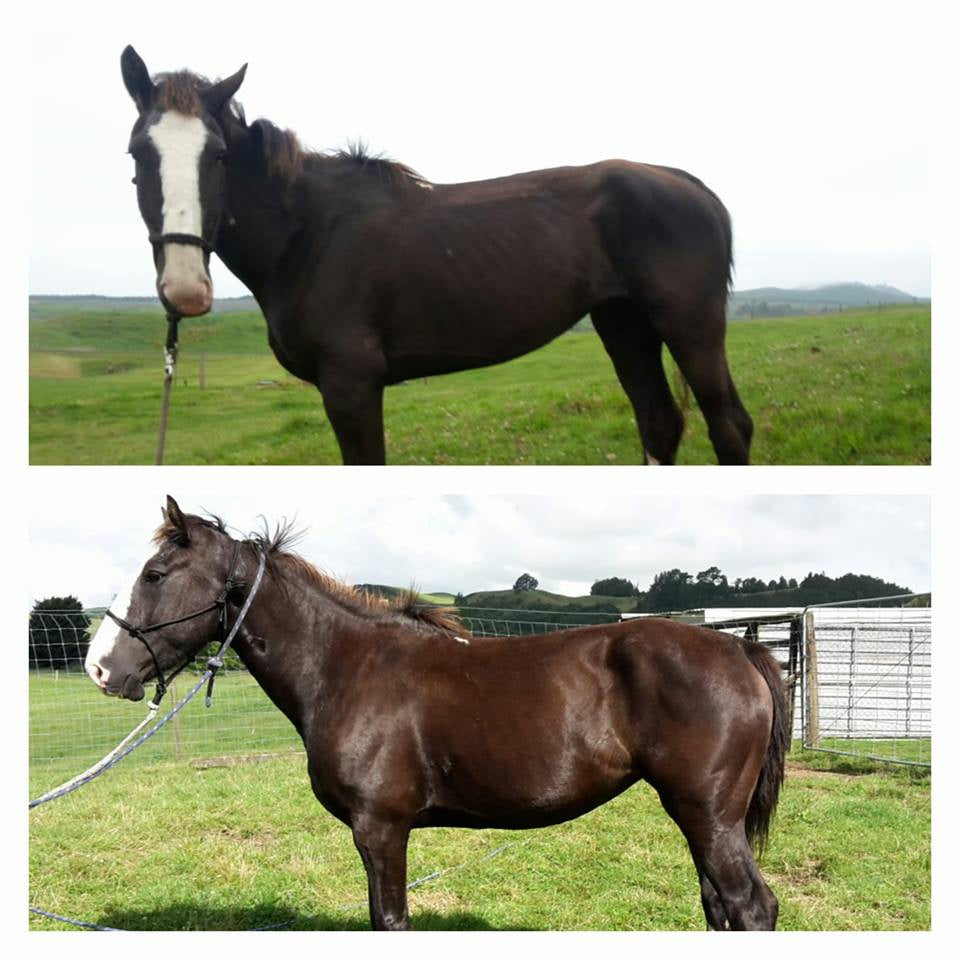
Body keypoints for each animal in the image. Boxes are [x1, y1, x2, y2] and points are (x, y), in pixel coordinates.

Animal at [84, 496, 789, 930]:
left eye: (155, 573)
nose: (99, 667)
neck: (346, 666)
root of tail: (737, 646)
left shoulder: (380, 829)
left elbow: (390, 919)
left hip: (707, 816)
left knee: (750, 907)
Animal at [119, 46, 753, 465]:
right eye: (138, 153)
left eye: (219, 156)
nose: (185, 289)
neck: (310, 234)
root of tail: (688, 183)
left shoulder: (352, 384)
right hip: (624, 324)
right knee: (659, 423)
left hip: (690, 325)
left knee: (730, 428)